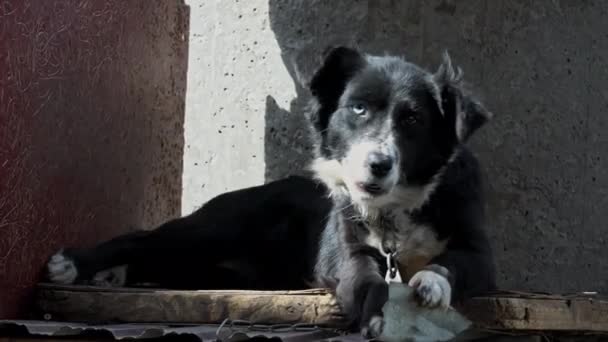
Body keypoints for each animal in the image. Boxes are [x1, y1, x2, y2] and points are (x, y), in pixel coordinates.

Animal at [46, 46, 494, 338]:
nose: (377, 164)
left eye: (413, 119)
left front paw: (431, 283)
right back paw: (76, 264)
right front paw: (375, 315)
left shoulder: (480, 253)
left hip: (217, 266)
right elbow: (369, 278)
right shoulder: (347, 249)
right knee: (143, 239)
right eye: (359, 108)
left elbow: (451, 262)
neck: (394, 207)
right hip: (215, 227)